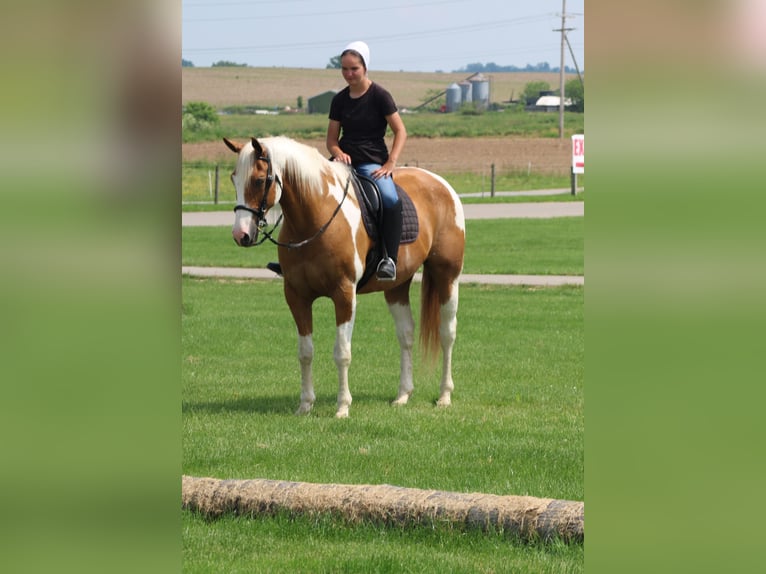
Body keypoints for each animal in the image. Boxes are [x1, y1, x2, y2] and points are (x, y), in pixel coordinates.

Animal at [224, 136, 465, 418]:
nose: (240, 234)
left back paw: (444, 395)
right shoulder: (296, 296)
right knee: (405, 334)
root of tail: (441, 184)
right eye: (234, 178)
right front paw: (305, 404)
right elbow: (305, 352)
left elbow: (342, 353)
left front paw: (342, 407)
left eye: (259, 180)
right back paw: (403, 395)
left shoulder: (344, 294)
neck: (315, 215)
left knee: (447, 332)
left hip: (447, 276)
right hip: (396, 287)